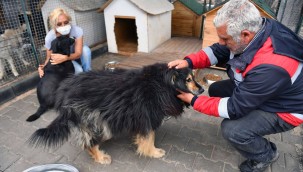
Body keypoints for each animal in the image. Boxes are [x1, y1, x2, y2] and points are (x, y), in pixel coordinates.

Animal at [28, 63, 204, 164]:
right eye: (188, 79)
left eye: (193, 77)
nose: (202, 89)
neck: (162, 83)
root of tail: (64, 94)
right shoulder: (146, 116)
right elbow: (149, 137)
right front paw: (152, 152)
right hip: (94, 119)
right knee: (89, 141)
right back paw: (100, 157)